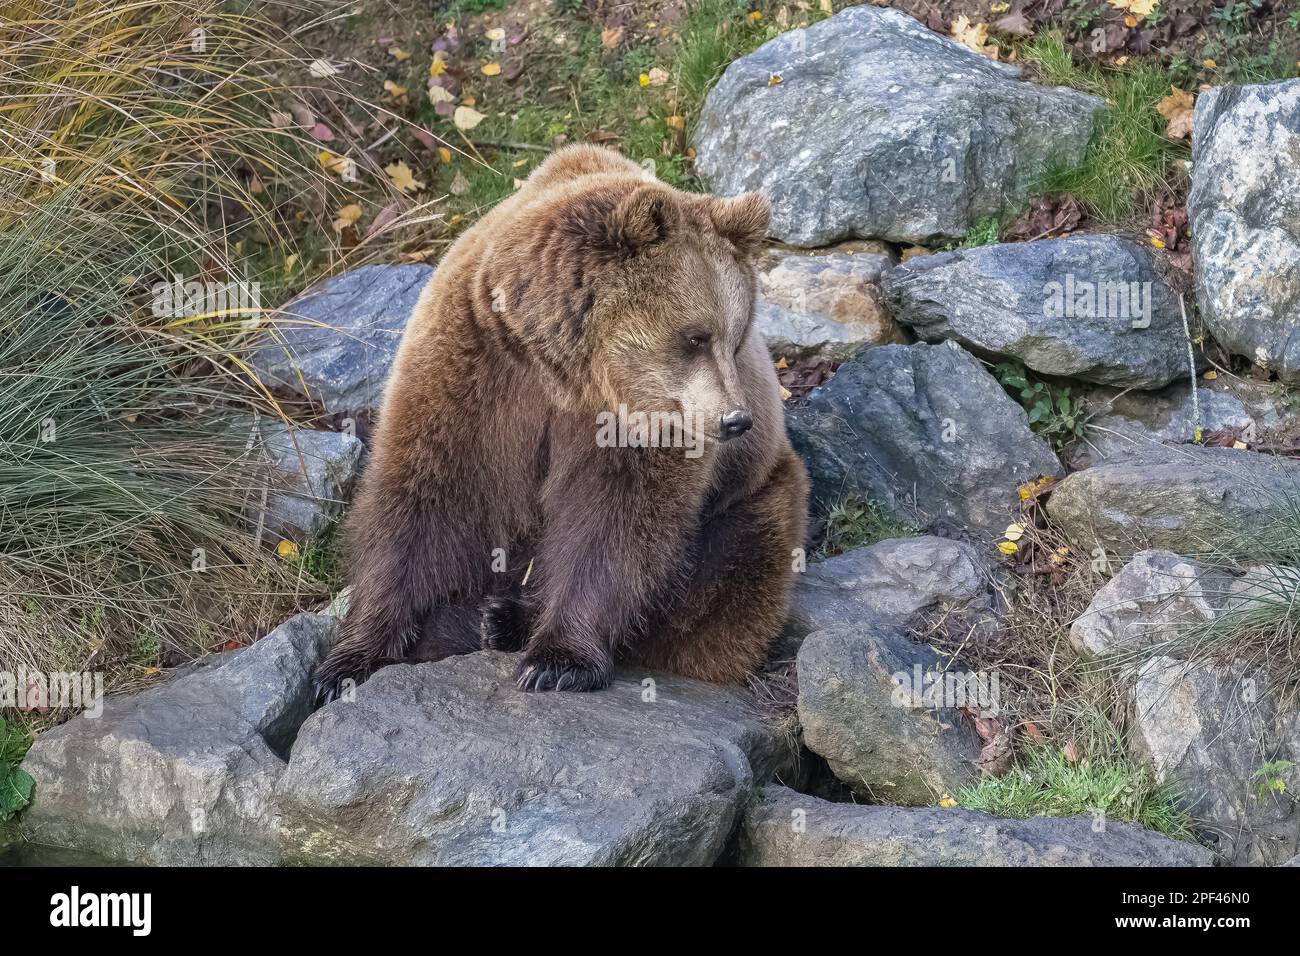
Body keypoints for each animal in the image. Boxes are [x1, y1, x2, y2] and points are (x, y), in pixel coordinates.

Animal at [313, 144, 809, 699]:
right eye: (696, 337)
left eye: (736, 338)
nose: (736, 420)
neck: (561, 366)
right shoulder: (474, 365)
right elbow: (425, 494)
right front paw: (351, 659)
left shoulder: (636, 420)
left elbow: (615, 520)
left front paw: (557, 661)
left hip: (753, 493)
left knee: (735, 571)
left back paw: (506, 619)